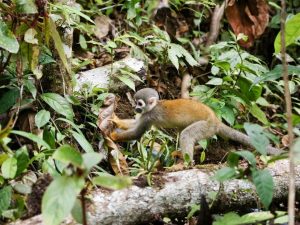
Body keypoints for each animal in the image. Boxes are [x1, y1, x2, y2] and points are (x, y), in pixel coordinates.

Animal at [109, 88, 282, 160]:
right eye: (135, 103)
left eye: (139, 103)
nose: (135, 108)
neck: (154, 106)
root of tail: (216, 120)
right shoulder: (145, 115)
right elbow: (134, 124)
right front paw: (116, 120)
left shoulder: (150, 116)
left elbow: (137, 132)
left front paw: (113, 135)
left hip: (206, 126)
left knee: (187, 134)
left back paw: (185, 163)